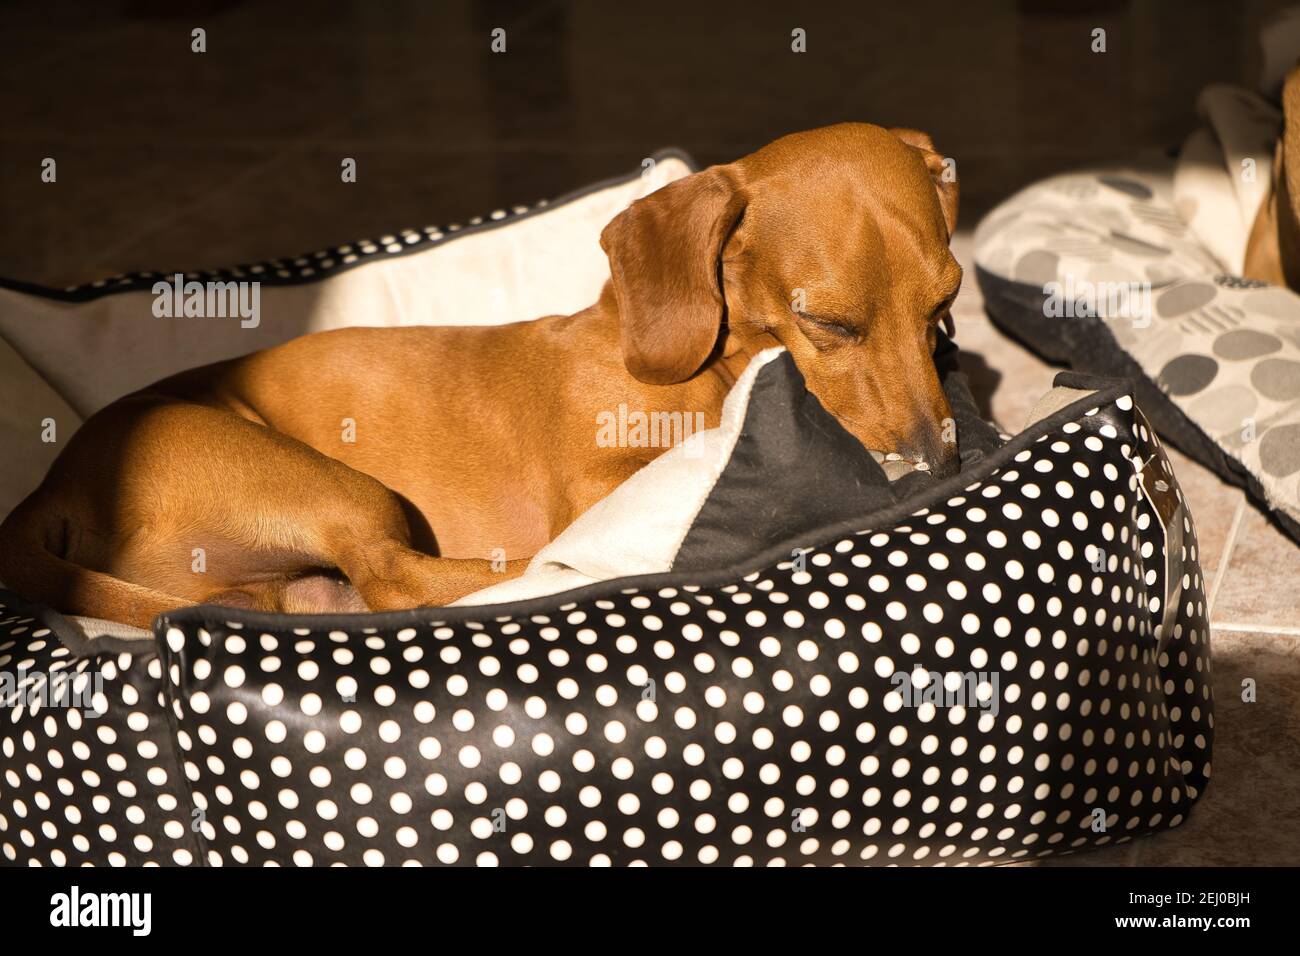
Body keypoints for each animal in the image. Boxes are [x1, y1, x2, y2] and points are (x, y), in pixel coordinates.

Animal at [2, 121, 967, 629]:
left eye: (946, 305)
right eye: (827, 323)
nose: (938, 466)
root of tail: (55, 481)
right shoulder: (602, 480)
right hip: (336, 490)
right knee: (402, 575)